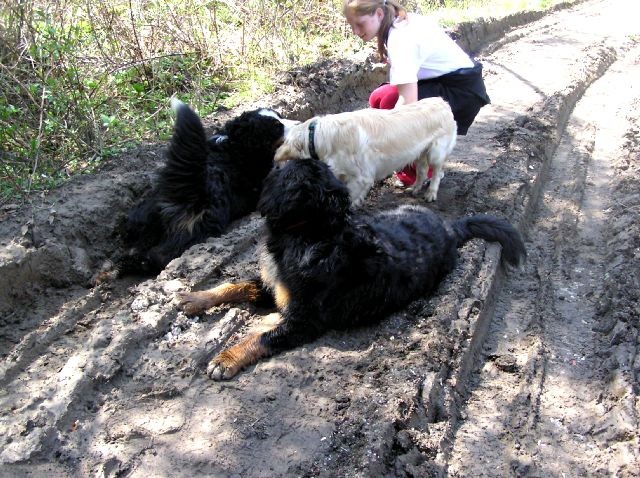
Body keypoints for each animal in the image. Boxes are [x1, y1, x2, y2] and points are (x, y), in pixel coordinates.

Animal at [102, 99, 298, 278]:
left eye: (280, 116)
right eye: (277, 127)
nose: (298, 124)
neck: (237, 144)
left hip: (140, 221)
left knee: (129, 252)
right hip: (199, 226)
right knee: (160, 255)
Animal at [179, 157, 524, 380]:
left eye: (281, 169)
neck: (311, 231)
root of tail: (451, 229)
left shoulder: (303, 320)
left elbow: (260, 336)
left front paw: (227, 357)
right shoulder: (274, 285)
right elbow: (235, 284)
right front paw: (196, 298)